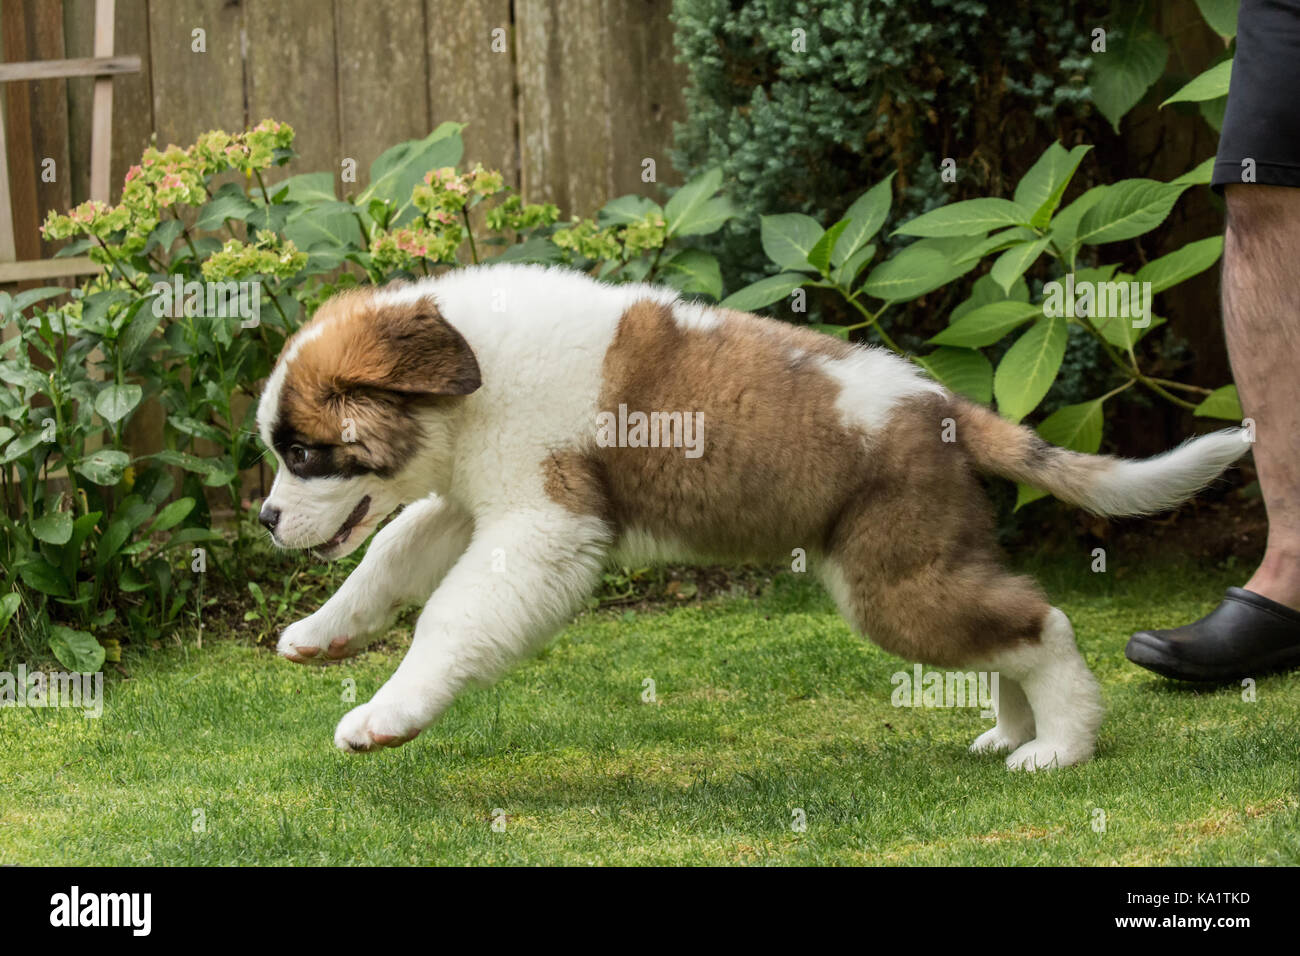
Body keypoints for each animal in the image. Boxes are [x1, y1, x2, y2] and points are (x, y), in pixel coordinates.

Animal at [256, 261, 1248, 770]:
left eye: (303, 453)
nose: (265, 519)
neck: (472, 374)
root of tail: (944, 407)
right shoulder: (474, 504)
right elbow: (389, 555)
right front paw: (320, 632)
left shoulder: (543, 525)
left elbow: (451, 620)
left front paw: (386, 716)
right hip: (926, 564)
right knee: (1009, 622)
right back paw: (1015, 730)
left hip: (892, 583)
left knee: (1046, 623)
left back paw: (1063, 746)